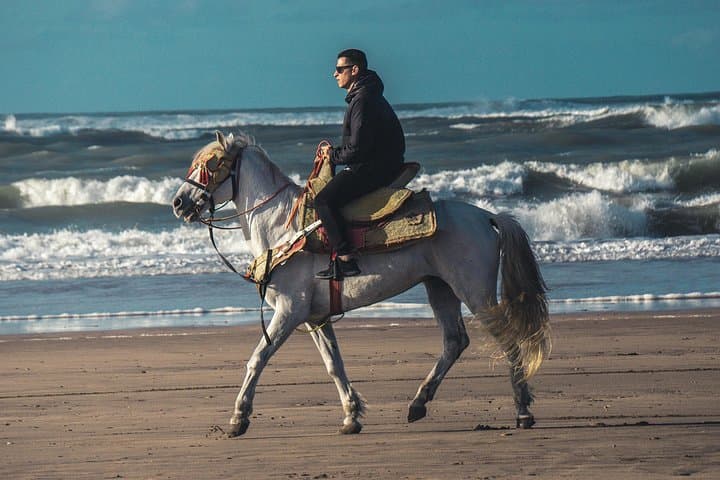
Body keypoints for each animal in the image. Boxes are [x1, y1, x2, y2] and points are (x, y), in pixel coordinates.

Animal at [172, 131, 551, 437]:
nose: (178, 203)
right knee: (454, 341)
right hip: (440, 287)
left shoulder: (290, 311)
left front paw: (239, 418)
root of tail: (486, 216)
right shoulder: (315, 317)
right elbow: (333, 365)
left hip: (474, 292)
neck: (281, 226)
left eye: (210, 164)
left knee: (508, 340)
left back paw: (522, 410)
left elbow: (257, 358)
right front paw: (351, 416)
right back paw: (418, 403)